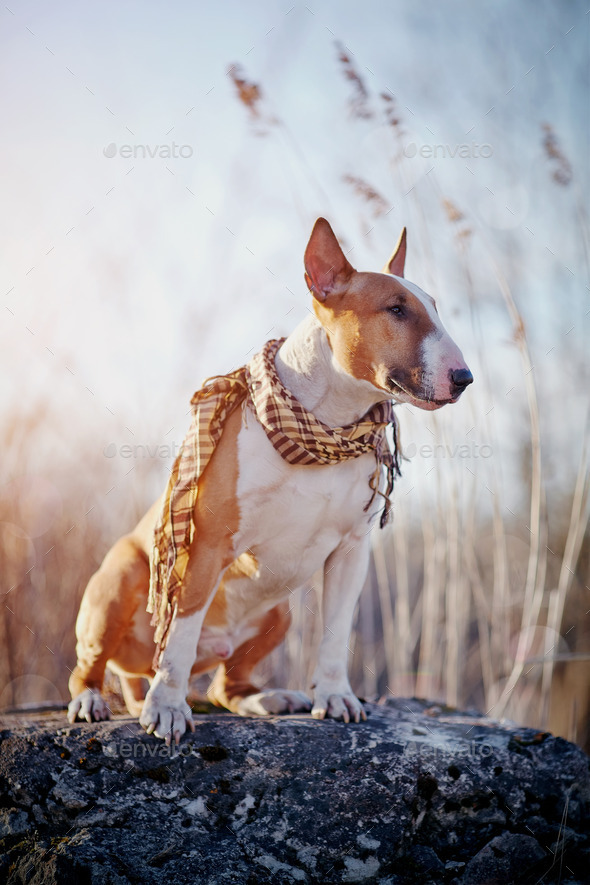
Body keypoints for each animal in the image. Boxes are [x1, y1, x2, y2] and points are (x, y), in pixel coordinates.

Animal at [67, 218, 474, 744]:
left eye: (434, 308)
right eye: (396, 309)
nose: (464, 377)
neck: (325, 424)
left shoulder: (351, 551)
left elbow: (335, 633)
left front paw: (334, 697)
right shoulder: (207, 545)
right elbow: (179, 635)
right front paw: (168, 708)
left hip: (278, 614)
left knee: (227, 686)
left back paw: (268, 697)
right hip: (117, 583)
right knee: (94, 664)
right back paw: (93, 699)